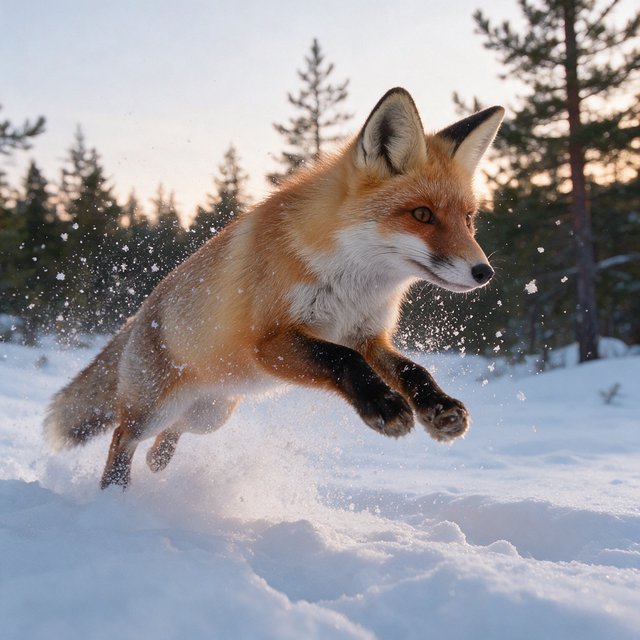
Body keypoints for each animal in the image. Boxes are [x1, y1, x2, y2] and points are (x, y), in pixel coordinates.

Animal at [45, 88, 504, 490]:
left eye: (468, 218)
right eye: (422, 215)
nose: (484, 272)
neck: (351, 284)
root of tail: (138, 314)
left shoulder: (366, 334)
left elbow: (412, 369)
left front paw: (439, 408)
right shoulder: (269, 343)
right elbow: (341, 360)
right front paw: (384, 405)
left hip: (212, 414)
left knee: (168, 435)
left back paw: (158, 461)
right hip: (156, 409)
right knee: (122, 437)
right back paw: (113, 496)